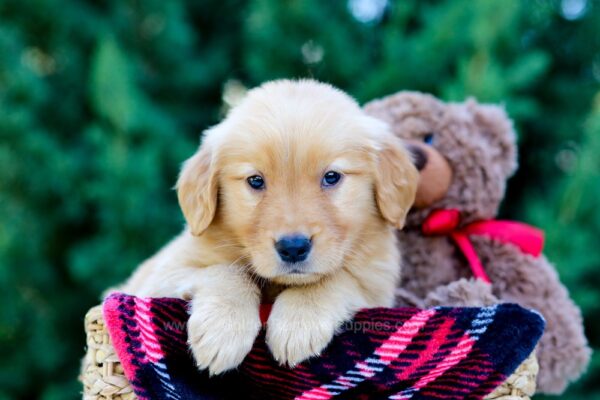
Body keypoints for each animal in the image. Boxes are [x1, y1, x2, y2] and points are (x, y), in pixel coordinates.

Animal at [122, 80, 418, 376]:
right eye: (255, 181)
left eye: (332, 177)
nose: (293, 247)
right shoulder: (160, 278)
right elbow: (226, 271)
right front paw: (223, 328)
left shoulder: (377, 284)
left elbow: (337, 277)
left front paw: (298, 321)